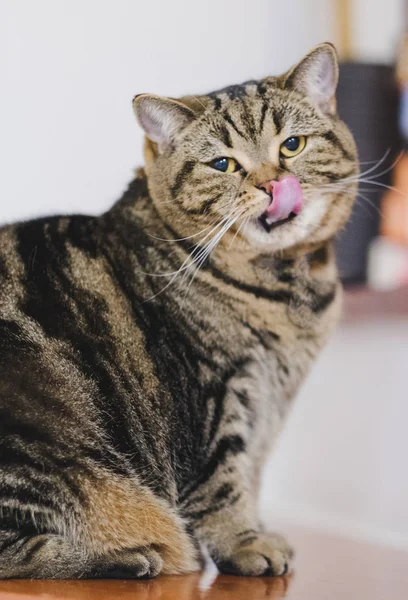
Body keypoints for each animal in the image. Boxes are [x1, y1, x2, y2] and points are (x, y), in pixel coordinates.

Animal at [0, 42, 356, 576]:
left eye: (292, 145)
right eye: (223, 164)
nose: (273, 185)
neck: (285, 285)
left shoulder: (267, 406)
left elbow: (251, 473)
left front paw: (257, 532)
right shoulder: (209, 393)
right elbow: (222, 481)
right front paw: (245, 544)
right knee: (22, 552)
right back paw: (129, 555)